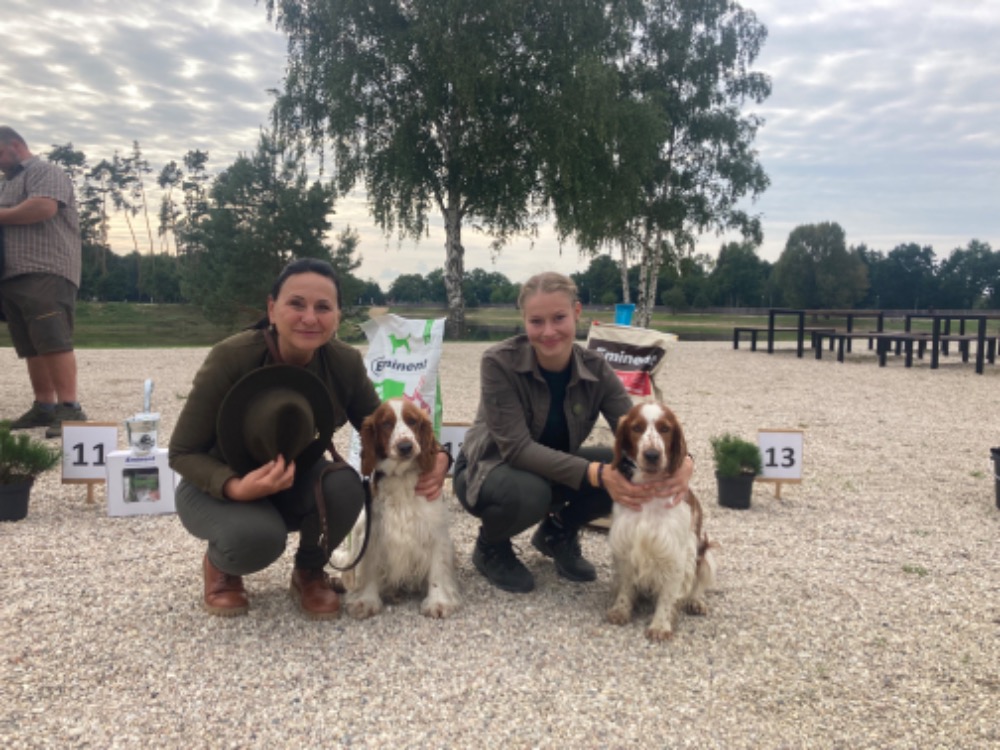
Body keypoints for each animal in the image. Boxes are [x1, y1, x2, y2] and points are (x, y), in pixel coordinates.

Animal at [345, 398, 460, 619]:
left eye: (412, 421)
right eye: (386, 424)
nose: (405, 446)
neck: (401, 477)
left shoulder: (435, 530)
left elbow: (437, 570)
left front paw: (438, 601)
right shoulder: (374, 532)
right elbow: (370, 569)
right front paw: (367, 600)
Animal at [606, 402, 717, 641]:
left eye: (665, 428)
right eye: (637, 428)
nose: (652, 455)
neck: (651, 491)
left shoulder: (675, 551)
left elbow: (668, 595)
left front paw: (660, 625)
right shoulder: (626, 544)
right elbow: (626, 586)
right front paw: (620, 610)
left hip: (706, 553)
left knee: (696, 585)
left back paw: (695, 602)